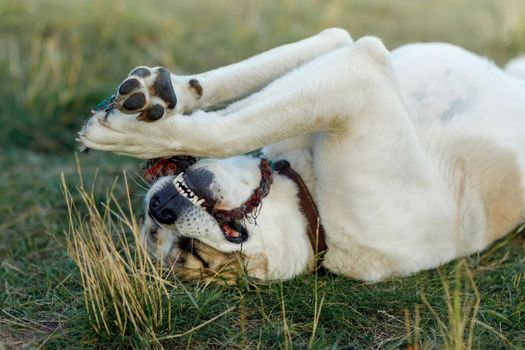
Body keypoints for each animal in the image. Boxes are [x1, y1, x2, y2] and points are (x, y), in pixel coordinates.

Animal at [80, 29, 524, 282]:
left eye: (194, 255)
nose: (160, 209)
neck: (310, 195)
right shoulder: (353, 69)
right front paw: (164, 100)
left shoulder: (355, 71)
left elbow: (229, 125)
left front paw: (148, 120)